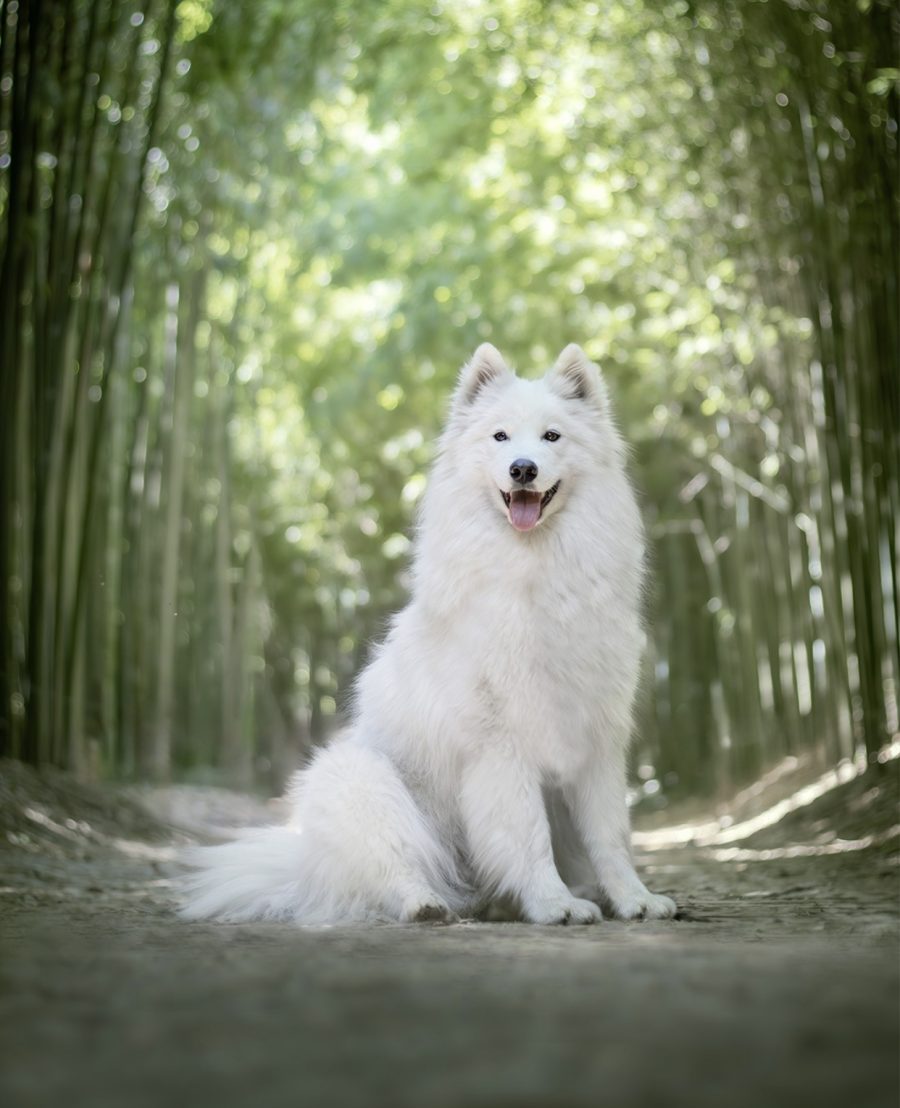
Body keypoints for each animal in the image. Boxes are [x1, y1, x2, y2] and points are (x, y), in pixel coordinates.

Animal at [182, 345, 673, 926]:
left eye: (552, 436)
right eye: (500, 437)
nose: (523, 469)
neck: (535, 573)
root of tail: (301, 870)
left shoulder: (597, 740)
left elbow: (611, 836)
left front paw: (635, 899)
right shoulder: (499, 746)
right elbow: (526, 833)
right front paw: (554, 904)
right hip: (359, 777)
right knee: (395, 867)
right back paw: (426, 903)